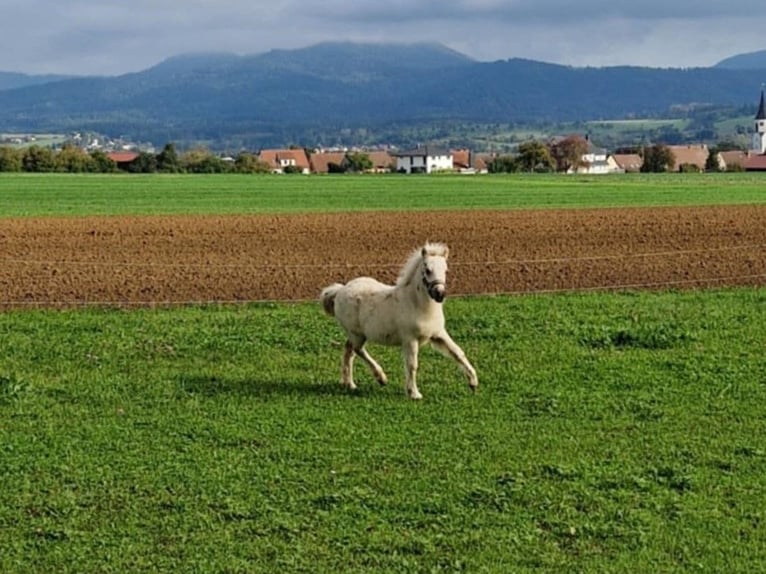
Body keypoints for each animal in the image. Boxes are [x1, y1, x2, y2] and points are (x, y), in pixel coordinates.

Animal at [319, 242, 478, 400]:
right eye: (427, 270)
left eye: (446, 270)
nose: (439, 294)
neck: (417, 305)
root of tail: (340, 290)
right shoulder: (410, 339)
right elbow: (412, 365)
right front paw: (414, 393)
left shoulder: (438, 334)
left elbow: (457, 352)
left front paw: (473, 382)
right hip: (356, 334)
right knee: (357, 350)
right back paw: (381, 378)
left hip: (356, 335)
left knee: (349, 351)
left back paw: (350, 384)